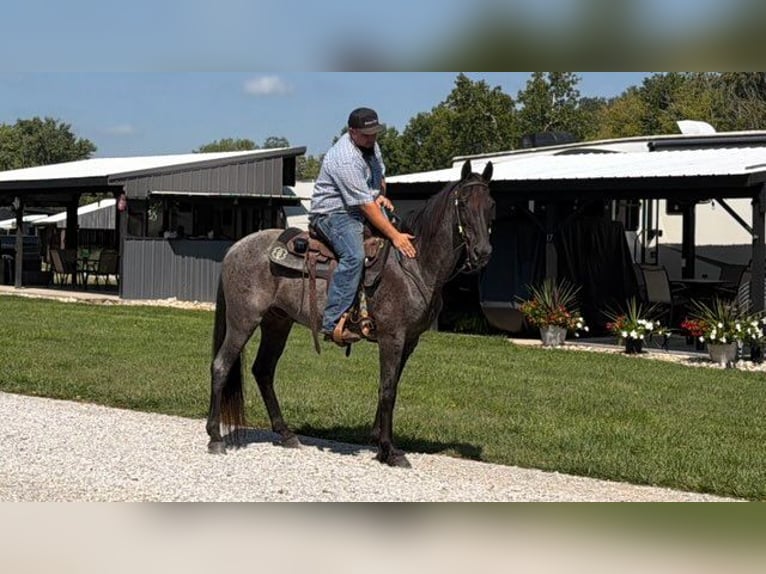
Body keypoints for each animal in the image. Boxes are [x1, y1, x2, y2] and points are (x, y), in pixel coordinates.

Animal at [206, 159, 495, 467]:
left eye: (491, 204)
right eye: (463, 204)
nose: (482, 252)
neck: (413, 264)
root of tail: (235, 248)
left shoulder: (410, 340)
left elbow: (391, 385)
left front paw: (378, 441)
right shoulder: (392, 337)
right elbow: (388, 389)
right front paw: (390, 450)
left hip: (277, 323)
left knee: (263, 370)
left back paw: (286, 433)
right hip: (243, 321)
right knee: (221, 366)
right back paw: (215, 437)